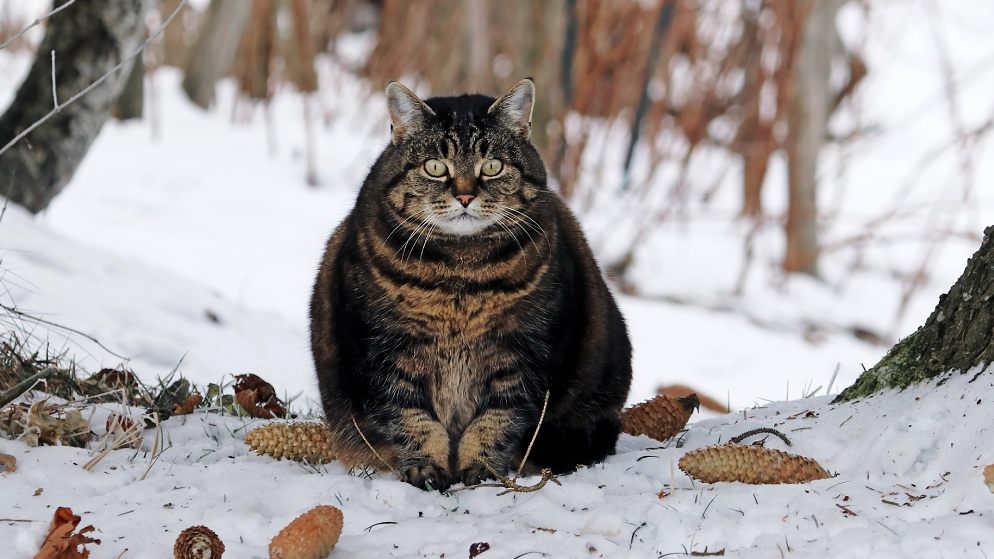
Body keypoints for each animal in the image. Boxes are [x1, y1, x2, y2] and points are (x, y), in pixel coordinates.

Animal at [310, 77, 628, 490]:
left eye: (492, 166)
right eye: (434, 166)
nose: (464, 195)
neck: (460, 275)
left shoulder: (523, 355)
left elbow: (498, 419)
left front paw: (480, 468)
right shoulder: (384, 351)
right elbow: (409, 416)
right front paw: (426, 467)